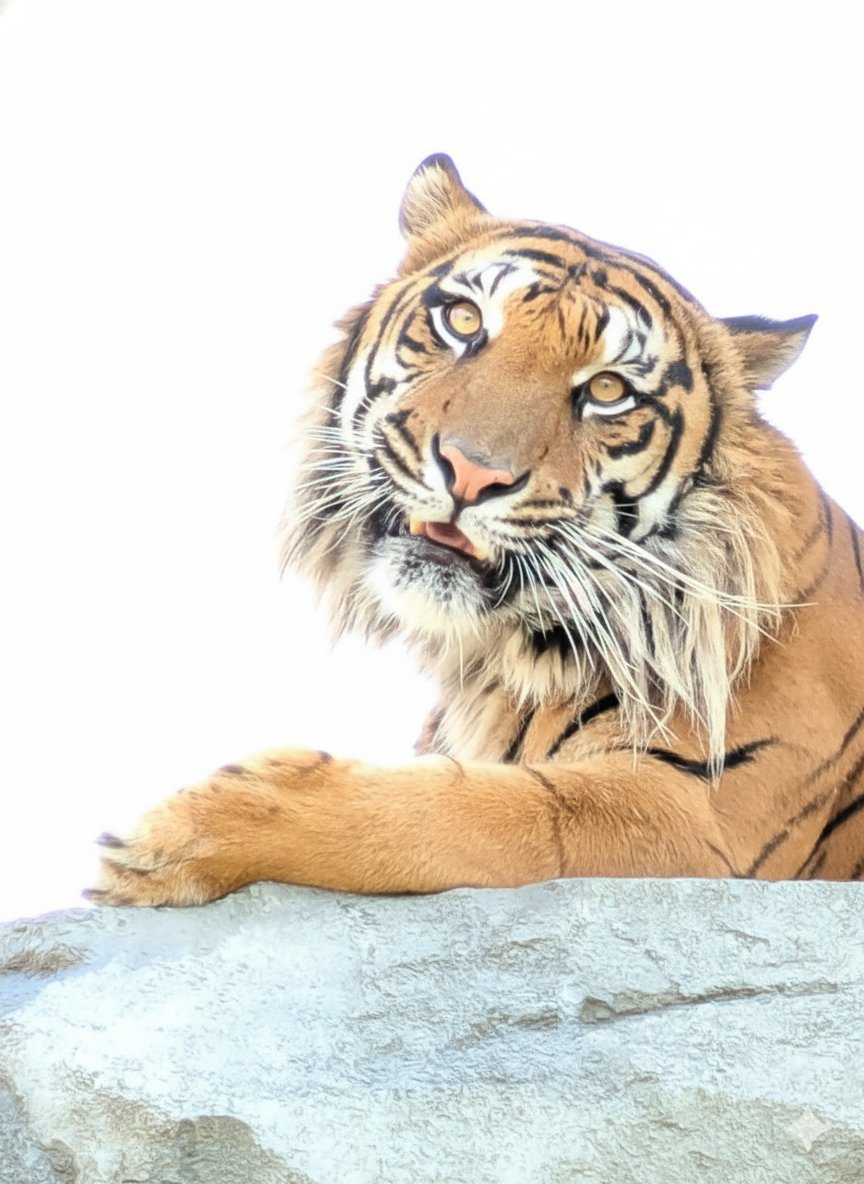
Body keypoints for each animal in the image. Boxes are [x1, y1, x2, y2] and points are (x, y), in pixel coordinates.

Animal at [88, 154, 864, 907]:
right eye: (463, 320)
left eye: (607, 390)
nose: (471, 473)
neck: (499, 660)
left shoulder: (694, 812)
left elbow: (460, 813)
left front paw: (175, 836)